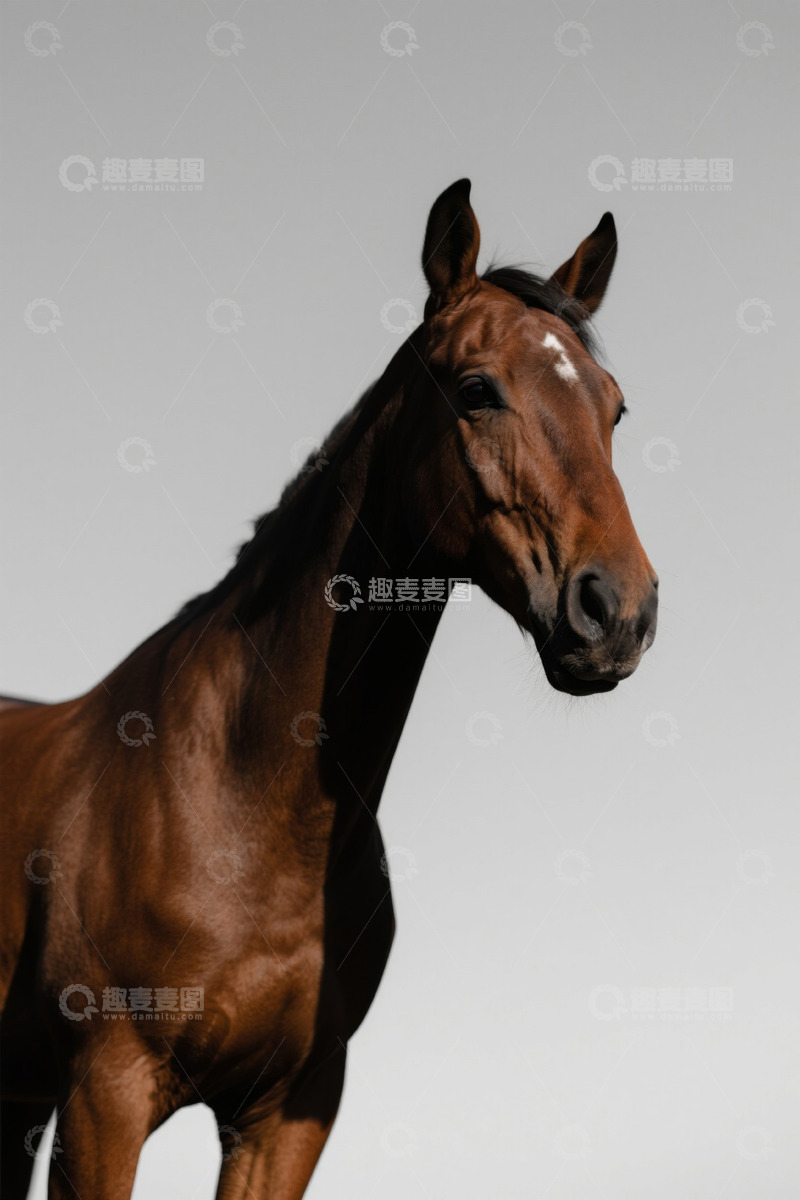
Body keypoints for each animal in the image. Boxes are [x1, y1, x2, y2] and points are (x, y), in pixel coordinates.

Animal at [0, 179, 657, 1199]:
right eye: (477, 390)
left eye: (615, 409)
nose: (617, 610)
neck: (242, 806)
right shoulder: (102, 1099)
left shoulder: (290, 1114)